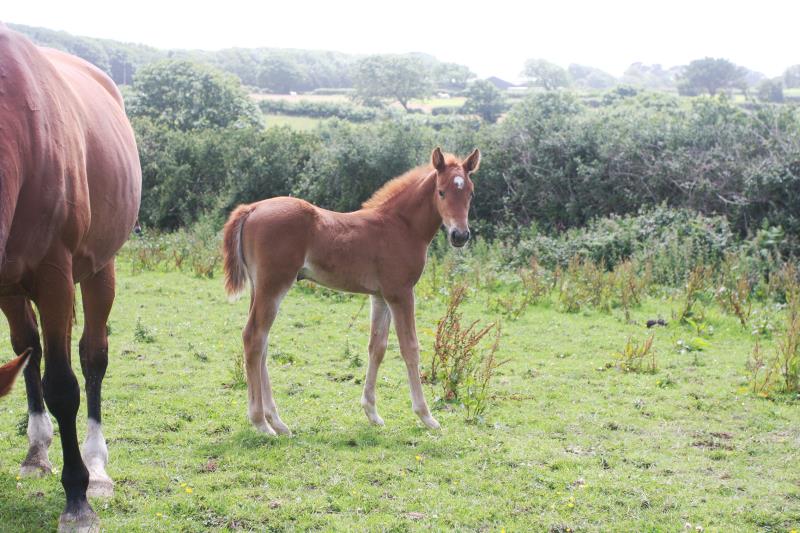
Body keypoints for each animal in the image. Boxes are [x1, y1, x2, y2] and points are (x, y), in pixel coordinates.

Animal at [0, 26, 142, 532]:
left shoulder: (55, 276)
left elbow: (64, 386)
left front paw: (78, 499)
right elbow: (30, 359)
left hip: (99, 270)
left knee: (91, 357)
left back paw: (96, 467)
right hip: (12, 286)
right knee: (28, 348)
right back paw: (36, 450)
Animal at [222, 145, 478, 432]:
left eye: (470, 192)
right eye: (441, 191)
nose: (460, 235)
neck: (400, 226)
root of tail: (252, 208)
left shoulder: (380, 296)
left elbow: (377, 347)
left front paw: (372, 413)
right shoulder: (400, 293)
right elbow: (409, 348)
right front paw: (426, 416)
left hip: (259, 288)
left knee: (262, 342)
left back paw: (277, 422)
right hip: (274, 285)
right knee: (254, 337)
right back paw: (261, 423)